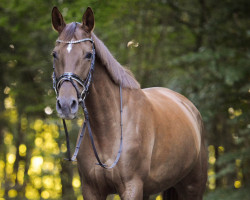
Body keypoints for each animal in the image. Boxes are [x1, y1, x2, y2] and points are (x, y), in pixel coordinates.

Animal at [50, 6, 207, 200]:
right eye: (54, 54)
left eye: (88, 54)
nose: (66, 105)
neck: (109, 128)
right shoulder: (91, 190)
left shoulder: (132, 187)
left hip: (192, 187)